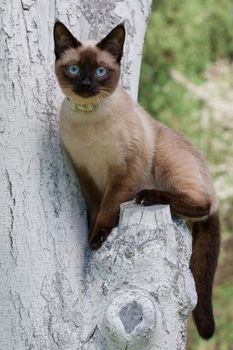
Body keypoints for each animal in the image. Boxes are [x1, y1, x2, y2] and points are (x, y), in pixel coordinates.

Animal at [53, 19, 221, 340]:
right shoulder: (85, 170)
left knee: (203, 204)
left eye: (101, 71)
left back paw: (148, 196)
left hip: (165, 159)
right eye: (75, 69)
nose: (86, 85)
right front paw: (91, 236)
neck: (89, 119)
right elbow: (96, 206)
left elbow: (110, 206)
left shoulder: (126, 168)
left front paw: (98, 239)